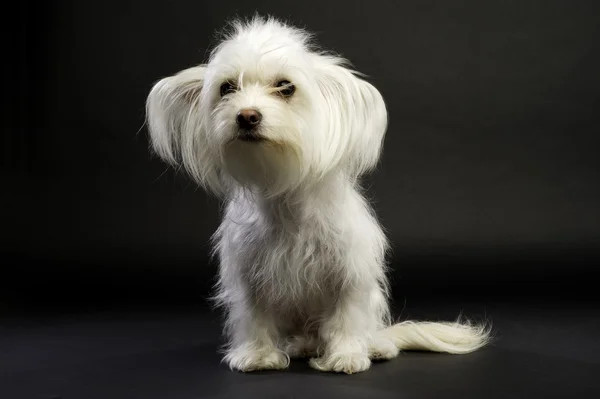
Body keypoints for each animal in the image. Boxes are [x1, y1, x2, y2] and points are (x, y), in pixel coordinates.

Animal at [148, 16, 490, 376]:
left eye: (286, 87)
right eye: (227, 88)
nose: (247, 116)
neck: (287, 200)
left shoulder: (349, 272)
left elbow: (346, 317)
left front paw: (346, 356)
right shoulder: (248, 274)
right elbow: (255, 316)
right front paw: (258, 355)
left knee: (368, 329)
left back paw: (375, 346)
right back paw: (301, 346)